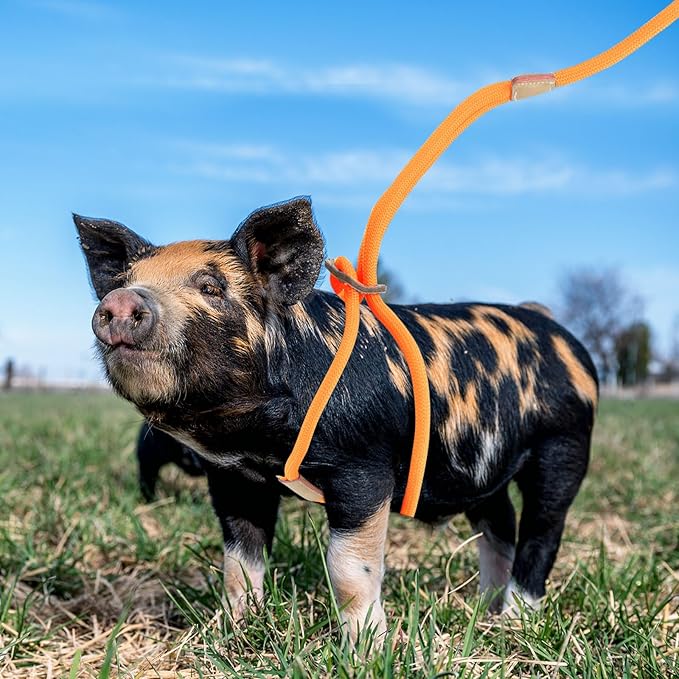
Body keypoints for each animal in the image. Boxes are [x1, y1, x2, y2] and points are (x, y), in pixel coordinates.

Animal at [74, 197, 597, 640]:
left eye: (211, 287)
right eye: (123, 282)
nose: (121, 301)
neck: (259, 439)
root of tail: (557, 330)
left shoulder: (363, 468)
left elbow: (349, 570)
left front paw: (366, 649)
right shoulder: (234, 477)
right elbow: (238, 563)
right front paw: (236, 631)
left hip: (564, 445)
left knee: (541, 534)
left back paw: (514, 621)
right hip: (484, 468)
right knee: (499, 525)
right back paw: (484, 611)